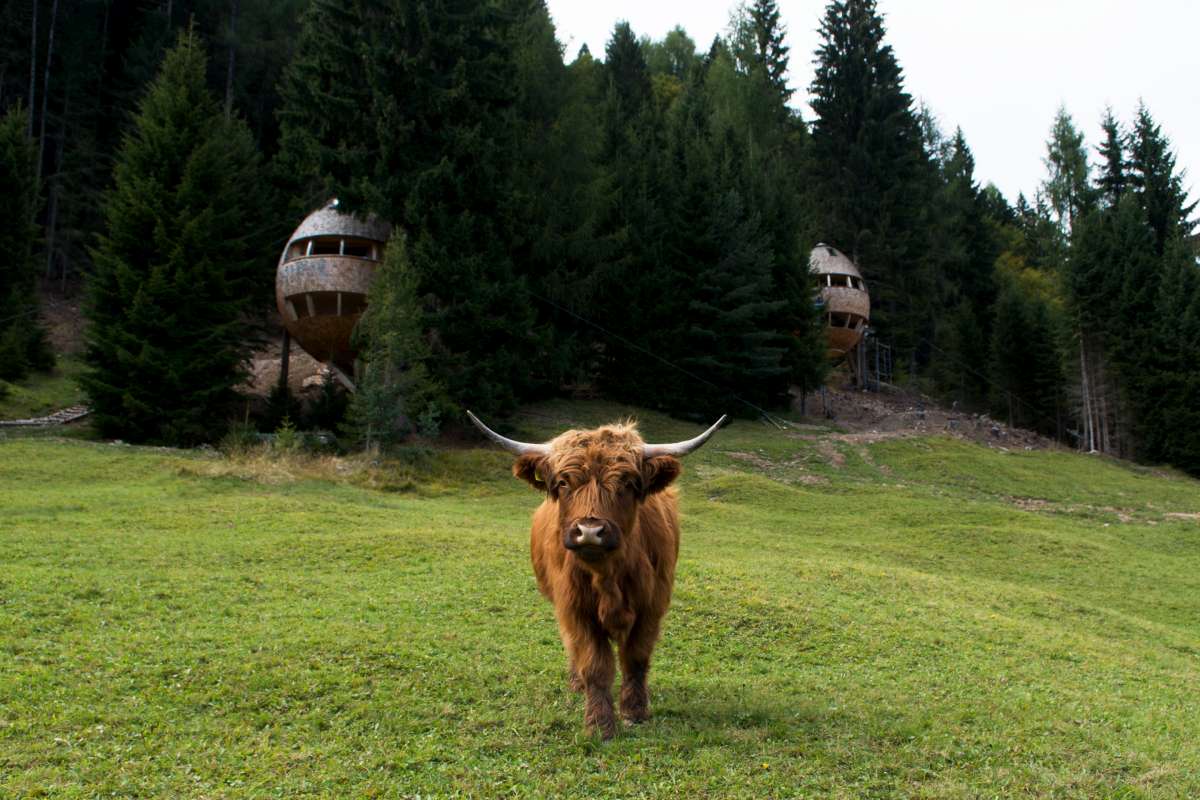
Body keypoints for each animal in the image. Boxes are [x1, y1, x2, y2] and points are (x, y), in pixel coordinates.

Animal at [465, 412, 720, 738]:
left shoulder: (651, 608)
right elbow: (595, 664)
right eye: (563, 482)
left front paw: (634, 712)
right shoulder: (575, 610)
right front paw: (599, 724)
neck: (608, 577)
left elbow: (636, 659)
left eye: (627, 482)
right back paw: (577, 683)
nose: (589, 531)